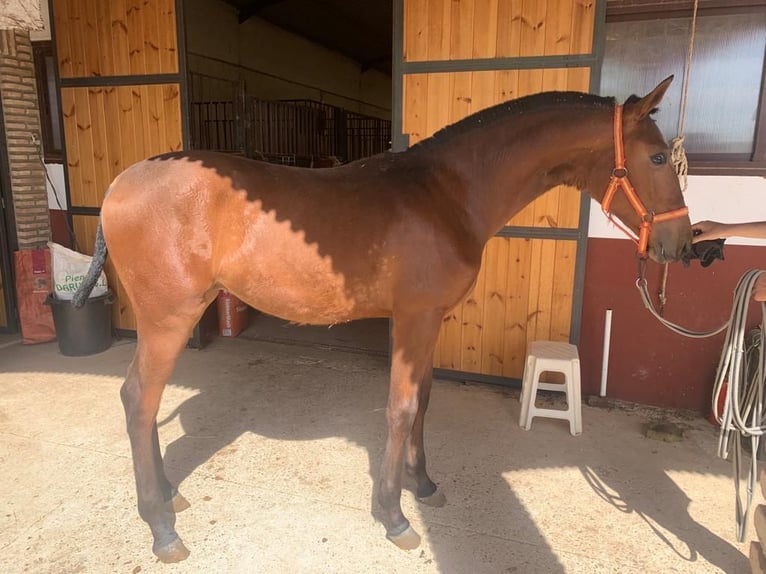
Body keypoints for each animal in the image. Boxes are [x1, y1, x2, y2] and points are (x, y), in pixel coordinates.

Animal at [75, 75, 692, 564]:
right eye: (659, 158)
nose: (681, 245)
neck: (447, 193)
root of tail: (122, 183)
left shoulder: (430, 320)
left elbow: (424, 400)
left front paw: (423, 484)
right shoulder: (415, 319)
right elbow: (401, 408)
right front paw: (394, 516)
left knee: (144, 405)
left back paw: (167, 495)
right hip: (168, 319)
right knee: (139, 400)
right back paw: (161, 526)